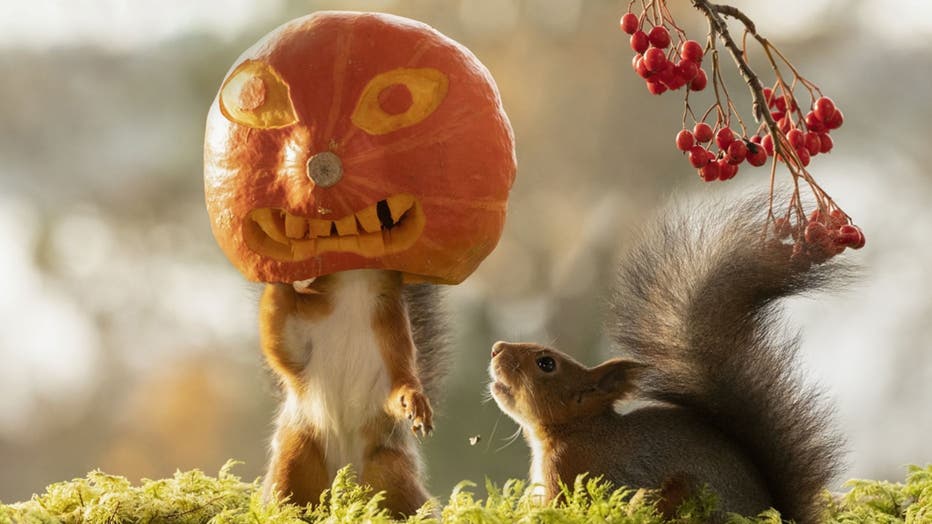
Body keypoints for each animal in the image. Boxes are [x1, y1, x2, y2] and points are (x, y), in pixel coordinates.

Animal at [259, 269, 448, 515]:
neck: (355, 283)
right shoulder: (303, 328)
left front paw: (414, 402)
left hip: (391, 471)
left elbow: (400, 383)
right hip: (296, 456)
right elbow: (281, 342)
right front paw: (277, 276)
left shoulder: (395, 333)